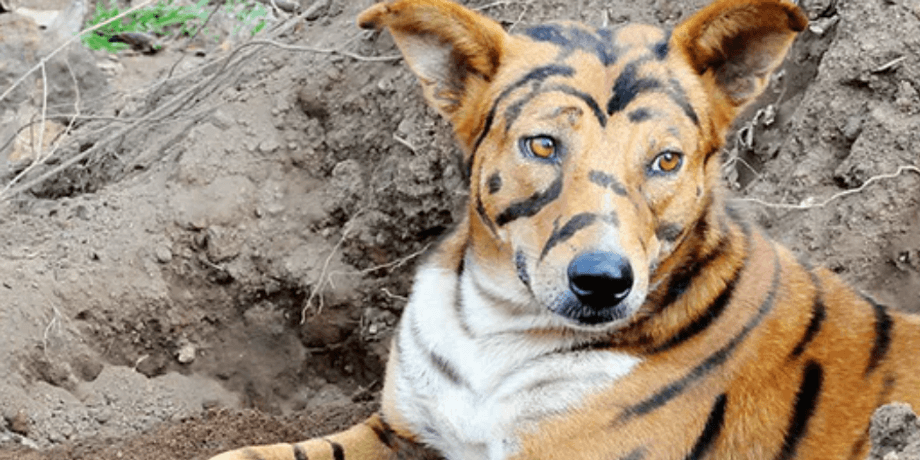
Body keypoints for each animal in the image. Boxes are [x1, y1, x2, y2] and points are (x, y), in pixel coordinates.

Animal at [209, 0, 920, 459]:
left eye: (666, 160)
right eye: (544, 145)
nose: (602, 282)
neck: (495, 326)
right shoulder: (401, 431)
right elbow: (254, 455)